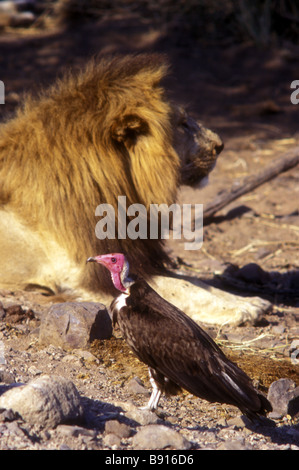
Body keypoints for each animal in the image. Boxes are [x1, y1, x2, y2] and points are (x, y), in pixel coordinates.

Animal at [0, 52, 270, 324]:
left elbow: (194, 281)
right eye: (182, 124)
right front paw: (243, 308)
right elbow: (181, 286)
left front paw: (247, 299)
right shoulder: (86, 276)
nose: (220, 145)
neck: (120, 192)